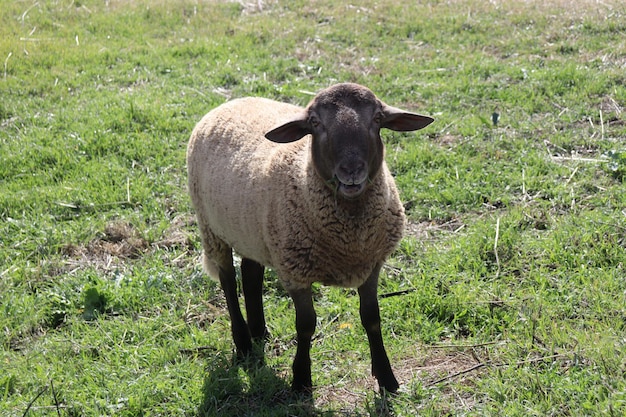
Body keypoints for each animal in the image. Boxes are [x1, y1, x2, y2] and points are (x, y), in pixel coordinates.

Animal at [186, 83, 434, 392]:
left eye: (377, 119)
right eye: (315, 123)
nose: (352, 171)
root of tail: (231, 102)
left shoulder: (371, 265)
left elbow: (371, 318)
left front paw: (387, 378)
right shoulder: (296, 273)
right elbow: (306, 325)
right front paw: (301, 379)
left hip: (252, 232)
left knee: (251, 274)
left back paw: (259, 332)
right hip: (212, 229)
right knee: (229, 283)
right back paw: (243, 343)